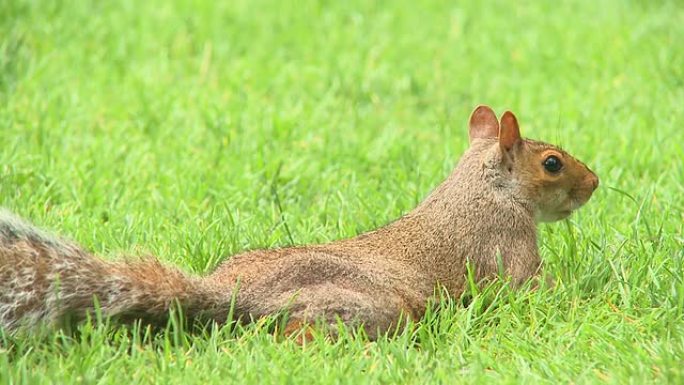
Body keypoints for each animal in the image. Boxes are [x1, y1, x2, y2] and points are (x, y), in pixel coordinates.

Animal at [0, 106, 600, 340]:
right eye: (552, 164)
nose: (595, 182)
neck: (480, 187)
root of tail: (229, 295)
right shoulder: (509, 248)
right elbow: (537, 290)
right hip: (369, 306)